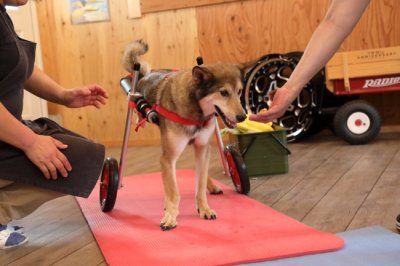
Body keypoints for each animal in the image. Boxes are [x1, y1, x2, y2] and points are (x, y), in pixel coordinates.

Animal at [122, 39, 253, 231]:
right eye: (223, 93)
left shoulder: (202, 147)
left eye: (239, 91)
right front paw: (170, 216)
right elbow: (173, 191)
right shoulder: (168, 158)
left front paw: (204, 208)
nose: (242, 117)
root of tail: (146, 74)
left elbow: (199, 185)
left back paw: (211, 185)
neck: (197, 111)